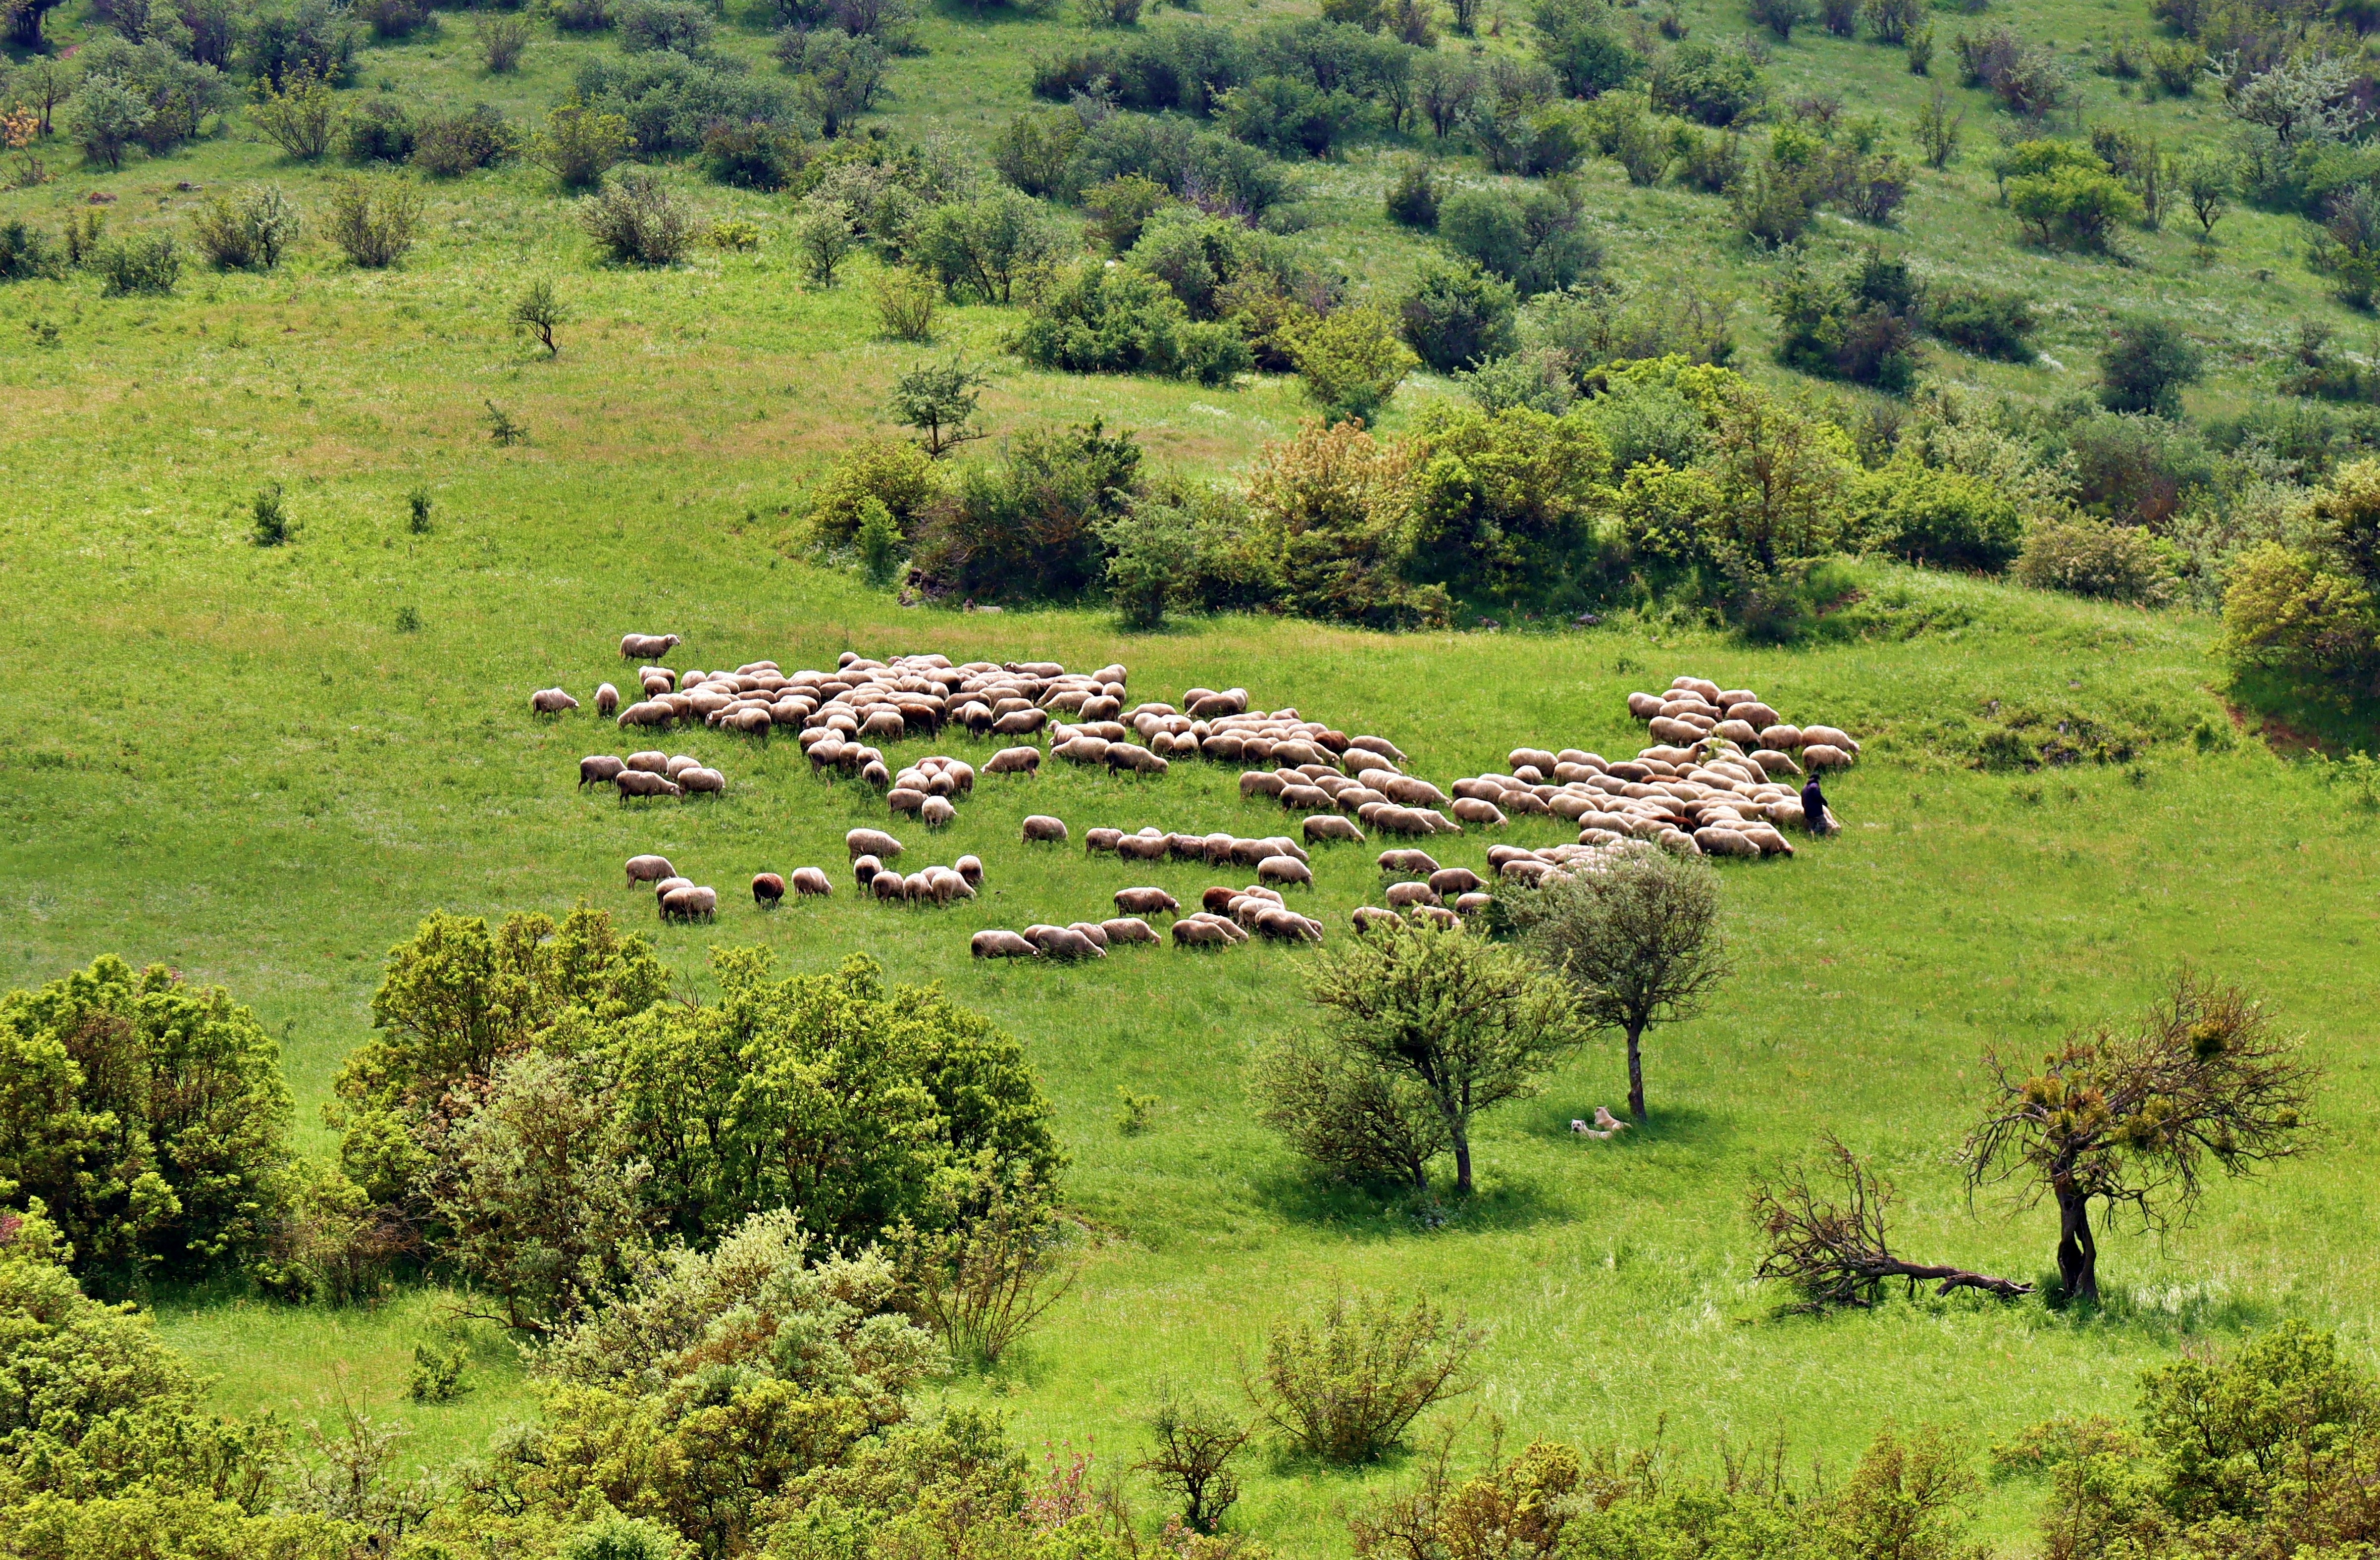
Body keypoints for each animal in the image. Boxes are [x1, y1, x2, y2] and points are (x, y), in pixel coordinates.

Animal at [1115, 887, 1181, 916]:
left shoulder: (1148, 909)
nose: (1178, 917)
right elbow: (1154, 917)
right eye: (1177, 909)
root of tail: (1117, 895)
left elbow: (1147, 916)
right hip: (1123, 909)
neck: (1165, 900)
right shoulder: (1155, 908)